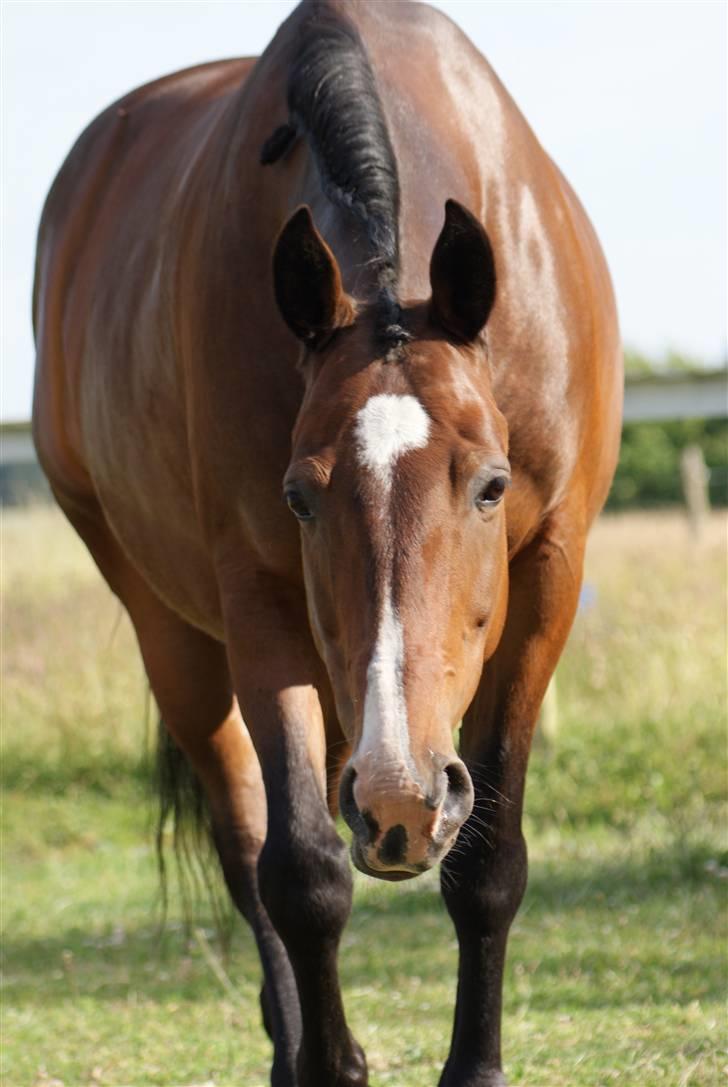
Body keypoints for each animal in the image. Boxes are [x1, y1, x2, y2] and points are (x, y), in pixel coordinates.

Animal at [32, 2, 621, 1087]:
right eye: (299, 498)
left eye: (490, 484)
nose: (400, 803)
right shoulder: (258, 596)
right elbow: (299, 866)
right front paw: (325, 1059)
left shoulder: (549, 578)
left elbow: (490, 856)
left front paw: (474, 1065)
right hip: (173, 633)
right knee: (245, 839)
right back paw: (296, 1038)